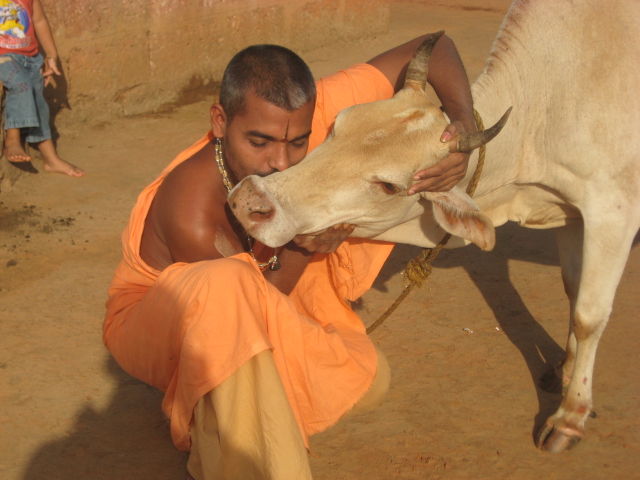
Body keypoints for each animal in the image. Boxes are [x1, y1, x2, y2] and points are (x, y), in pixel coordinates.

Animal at [229, 0, 640, 454]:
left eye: (389, 186)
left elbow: (589, 314)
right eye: (337, 123)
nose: (253, 202)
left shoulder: (613, 212)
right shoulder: (568, 212)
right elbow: (572, 289)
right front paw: (563, 371)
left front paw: (572, 415)